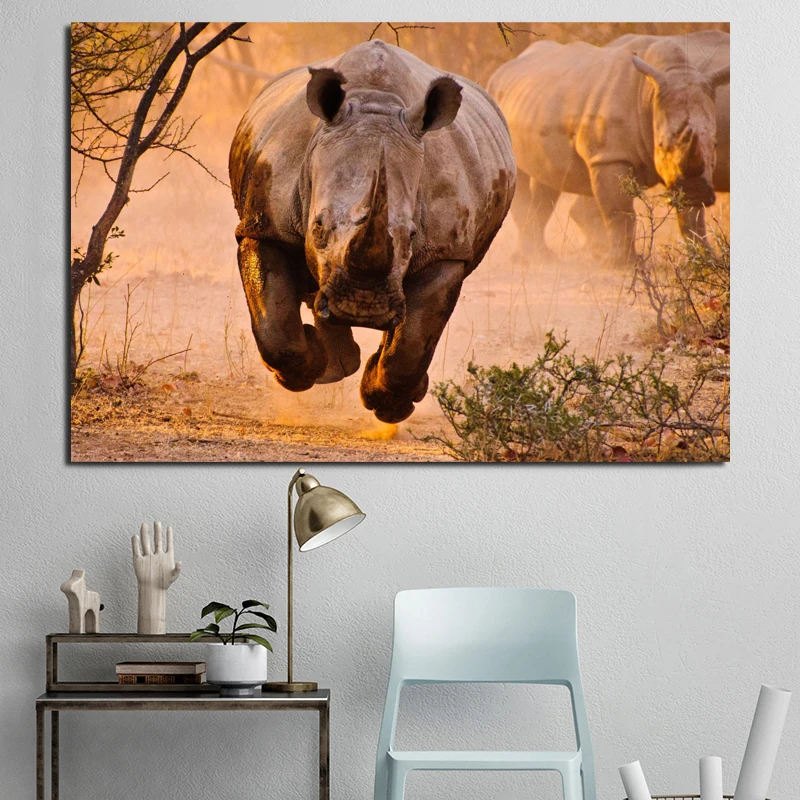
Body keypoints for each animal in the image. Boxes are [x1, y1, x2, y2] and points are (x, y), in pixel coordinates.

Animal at [229, 40, 515, 423]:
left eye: (412, 235)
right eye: (317, 226)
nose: (362, 306)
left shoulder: (446, 251)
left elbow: (412, 343)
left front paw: (389, 404)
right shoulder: (264, 225)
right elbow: (275, 328)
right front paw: (303, 371)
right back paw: (334, 365)